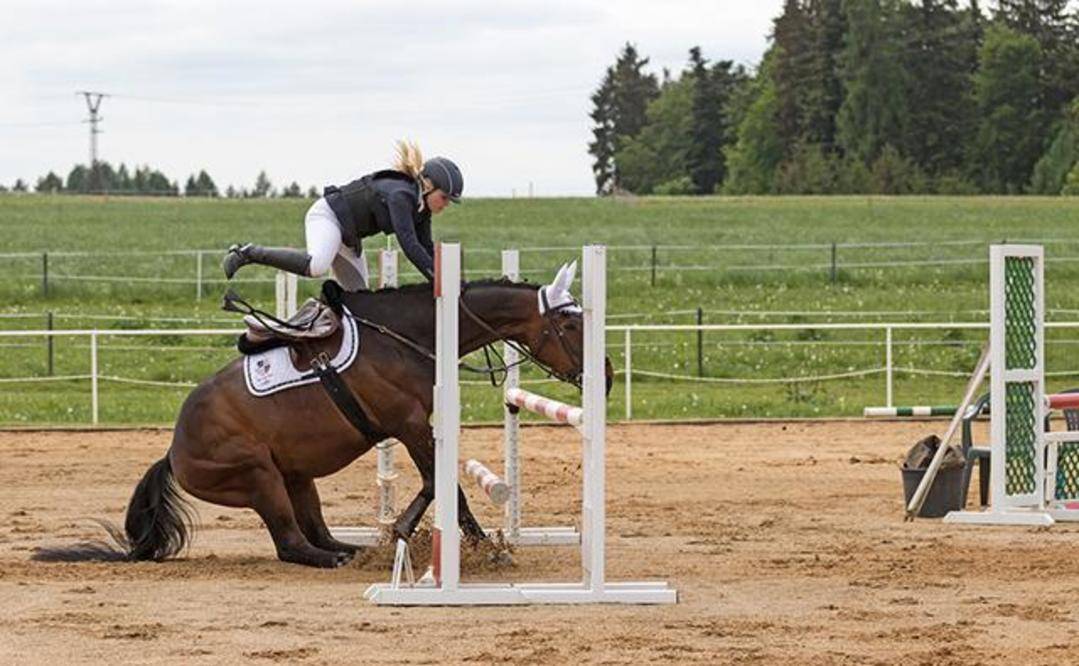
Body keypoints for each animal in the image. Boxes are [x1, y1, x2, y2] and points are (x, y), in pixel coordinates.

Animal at [38, 260, 612, 565]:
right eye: (571, 325)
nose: (605, 375)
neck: (409, 334)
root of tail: (173, 452)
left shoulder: (415, 428)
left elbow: (440, 485)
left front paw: (416, 534)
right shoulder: (407, 425)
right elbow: (442, 484)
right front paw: (468, 544)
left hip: (296, 477)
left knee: (315, 530)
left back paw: (353, 549)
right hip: (258, 476)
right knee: (293, 543)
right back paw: (338, 558)